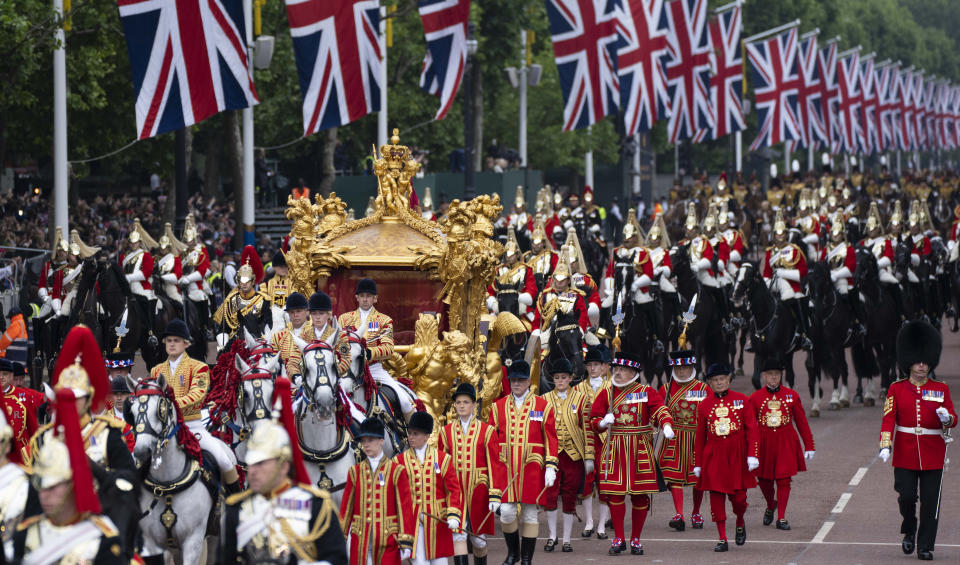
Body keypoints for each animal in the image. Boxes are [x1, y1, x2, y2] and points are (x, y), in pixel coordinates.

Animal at [126, 374, 217, 564]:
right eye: (132, 412)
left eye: (160, 409)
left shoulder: (193, 541)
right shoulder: (152, 543)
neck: (167, 485)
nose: (141, 452)